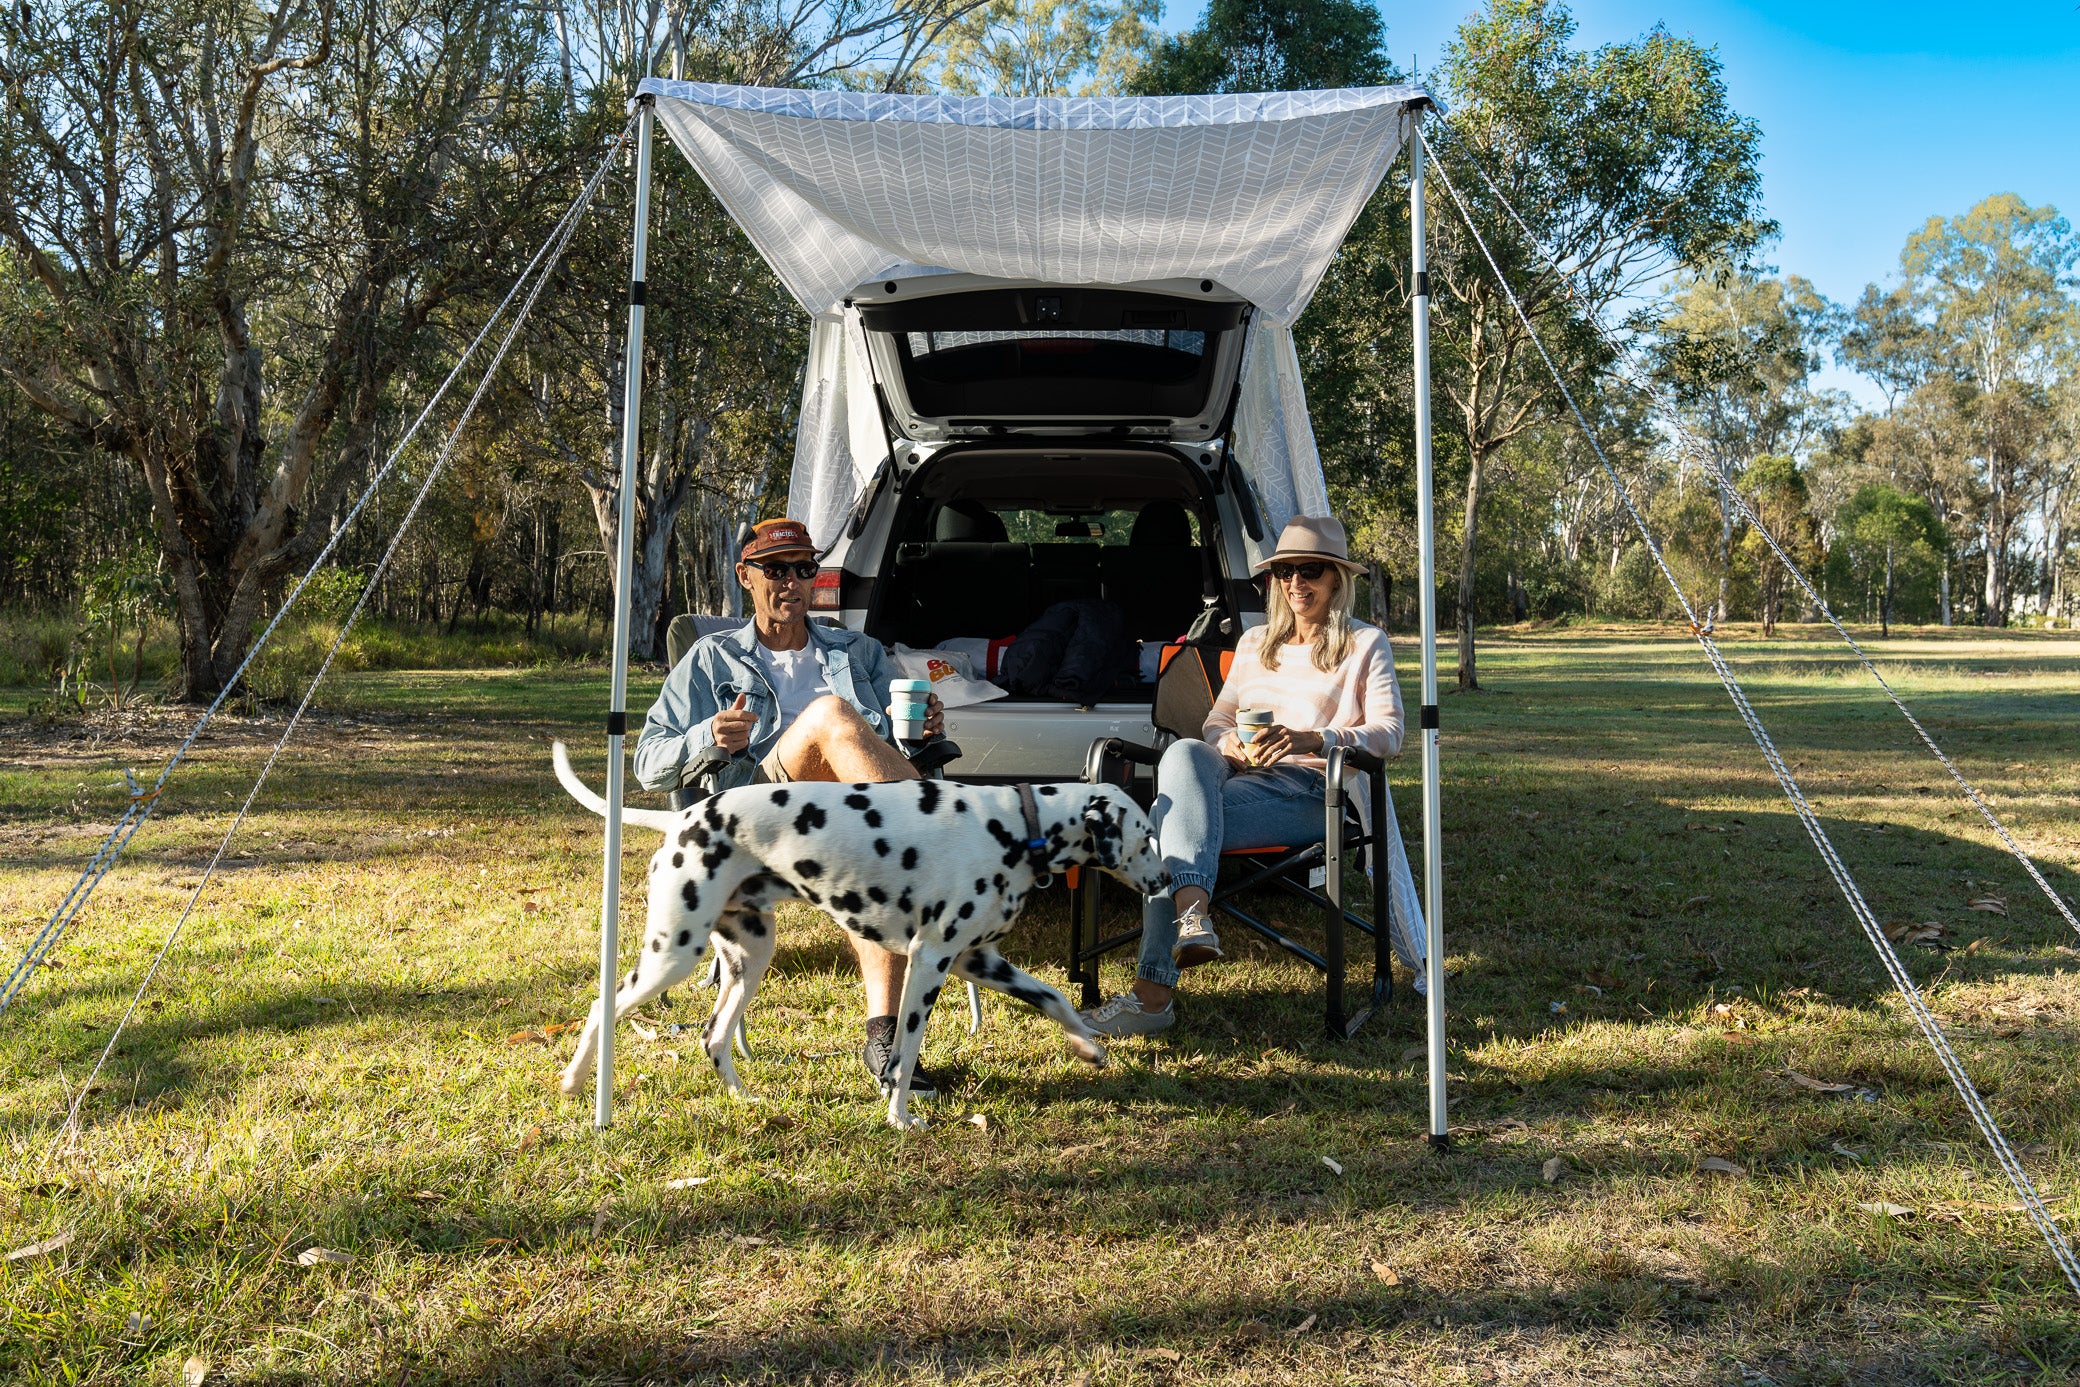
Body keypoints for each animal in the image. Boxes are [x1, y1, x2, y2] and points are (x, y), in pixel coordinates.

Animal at [553, 744, 1173, 1131]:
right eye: (1146, 837)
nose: (1168, 880)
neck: (1019, 827)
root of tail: (681, 820)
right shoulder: (930, 962)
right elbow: (905, 1051)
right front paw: (900, 1118)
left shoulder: (979, 962)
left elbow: (1056, 996)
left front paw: (1088, 1045)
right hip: (674, 954)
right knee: (602, 1006)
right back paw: (576, 1081)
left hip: (749, 958)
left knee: (714, 1036)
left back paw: (743, 1097)